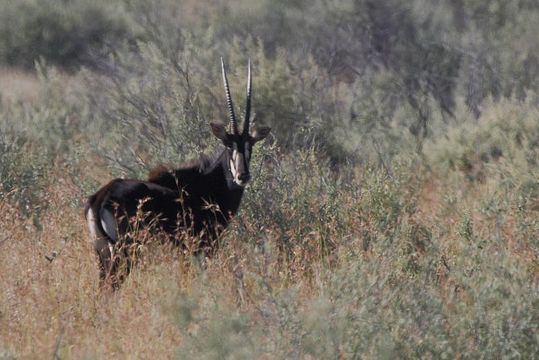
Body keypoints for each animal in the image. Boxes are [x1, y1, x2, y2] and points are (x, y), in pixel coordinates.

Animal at [86, 59, 272, 286]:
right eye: (229, 146)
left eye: (250, 146)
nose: (242, 176)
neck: (208, 184)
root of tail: (101, 197)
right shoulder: (201, 248)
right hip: (125, 250)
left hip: (103, 253)